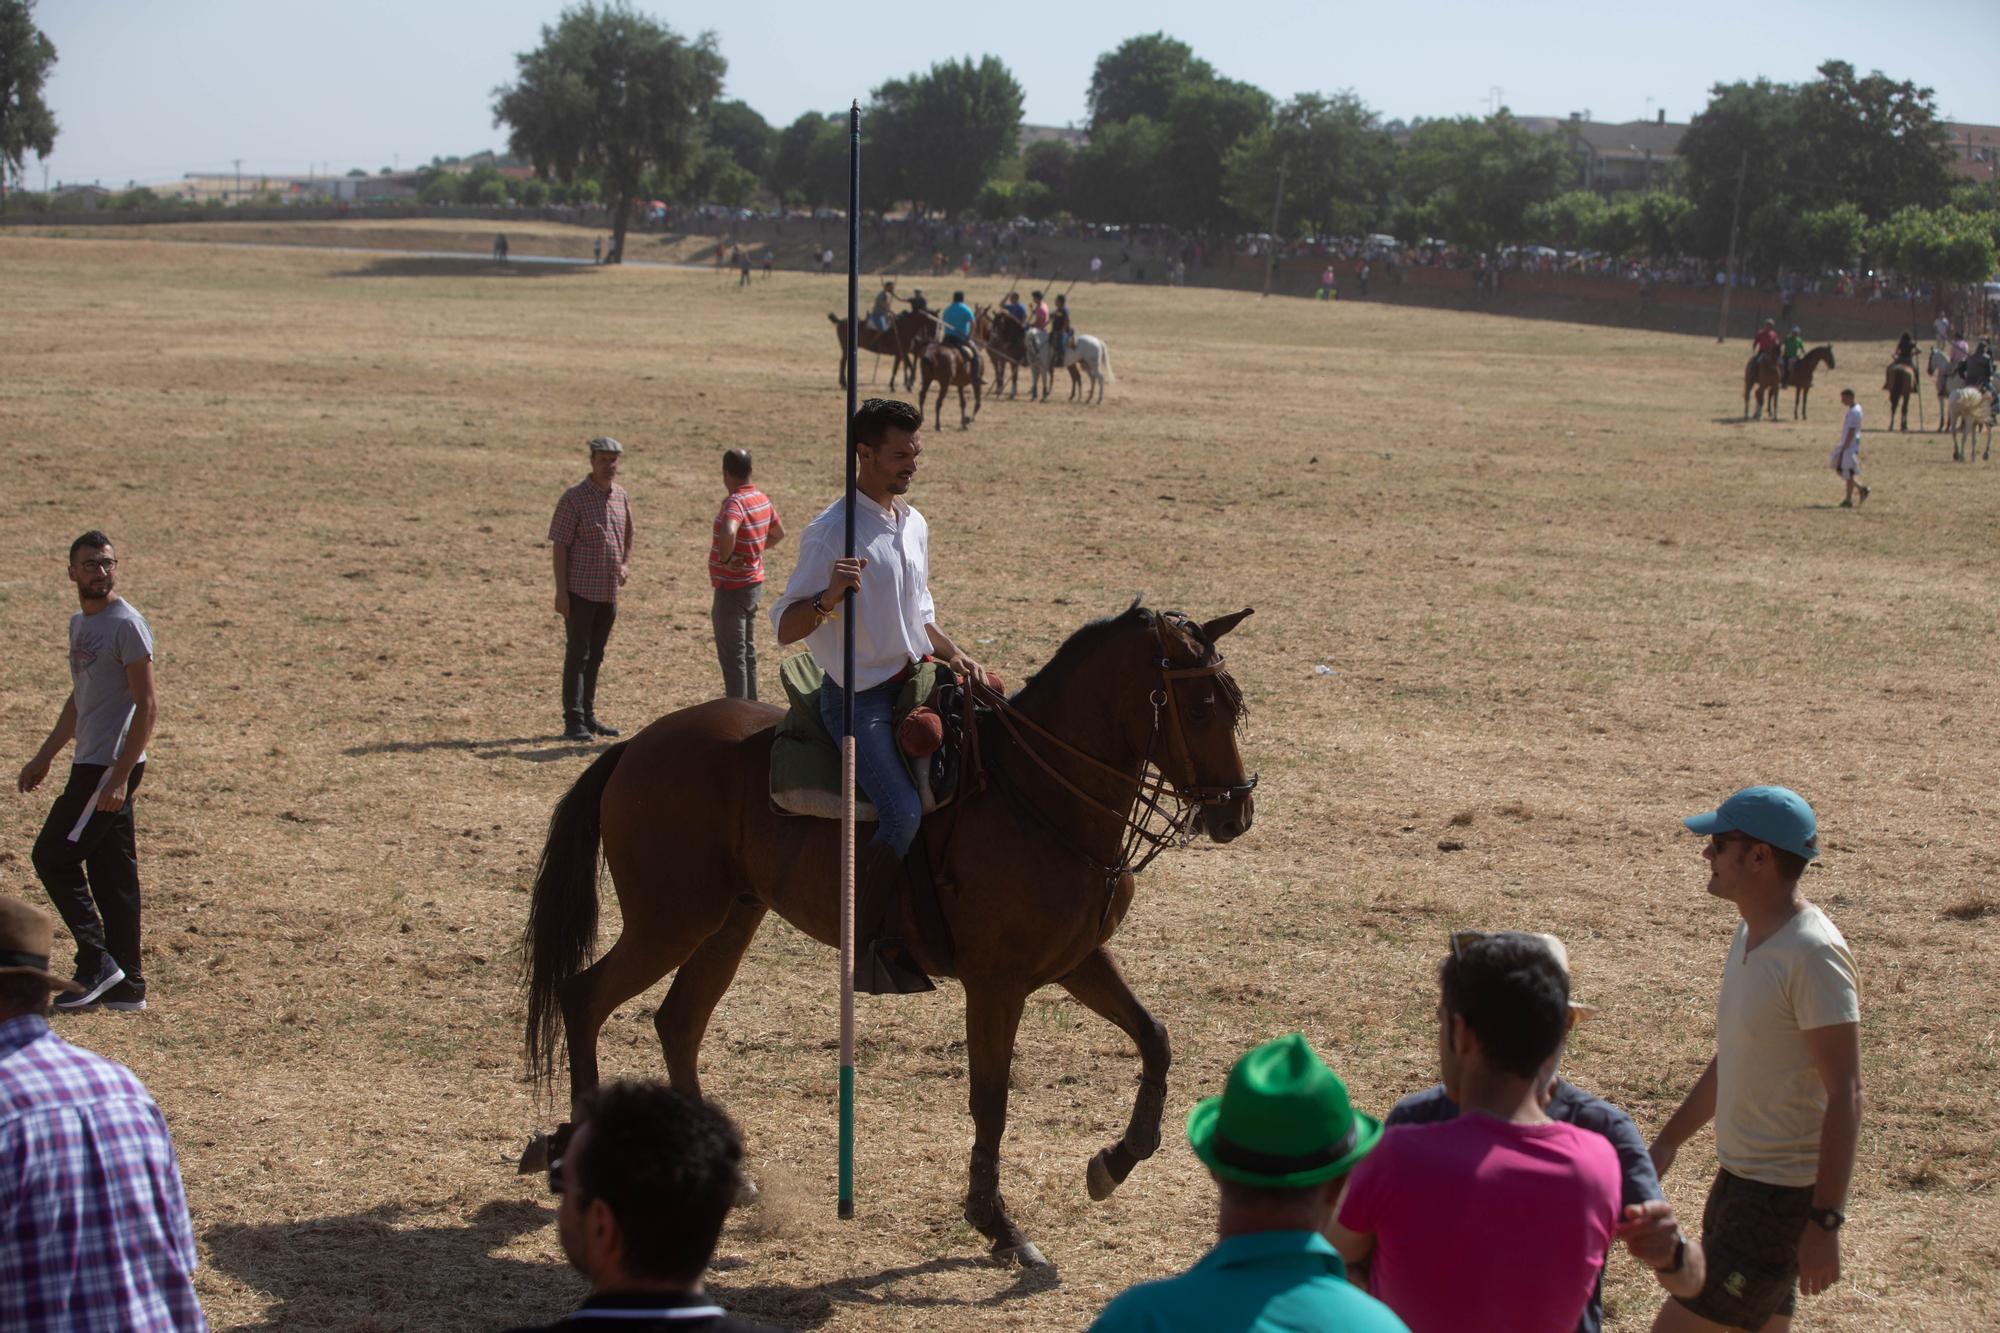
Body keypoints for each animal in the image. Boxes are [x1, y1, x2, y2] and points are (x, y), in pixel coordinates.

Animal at [524, 604, 1256, 1264]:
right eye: (1197, 709)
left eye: (1235, 707)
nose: (1236, 814)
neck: (1038, 795)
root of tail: (637, 746)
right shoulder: (996, 984)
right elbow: (991, 1100)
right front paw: (998, 1225)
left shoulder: (1078, 960)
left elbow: (1154, 1037)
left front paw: (1114, 1160)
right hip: (669, 922)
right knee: (585, 998)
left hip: (729, 920)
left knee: (677, 1021)